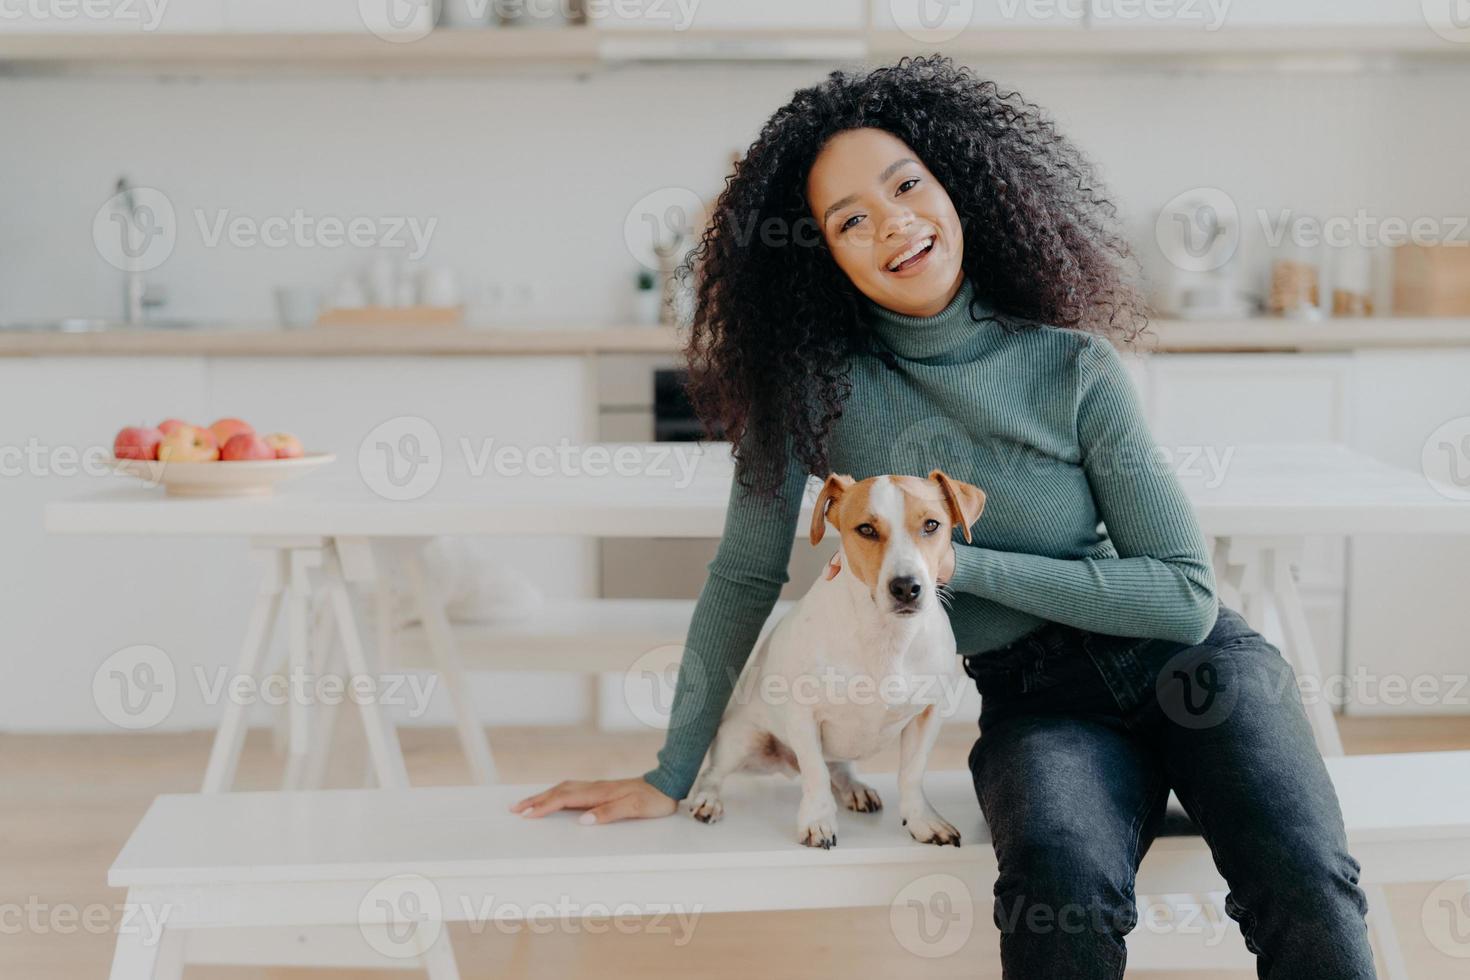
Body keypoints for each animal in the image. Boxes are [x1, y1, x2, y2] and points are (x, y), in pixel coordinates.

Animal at [687, 470, 987, 846]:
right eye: (866, 529)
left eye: (932, 525)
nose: (906, 587)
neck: (887, 638)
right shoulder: (802, 715)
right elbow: (815, 773)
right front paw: (817, 820)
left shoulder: (928, 714)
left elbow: (912, 773)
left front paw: (922, 820)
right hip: (742, 739)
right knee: (714, 772)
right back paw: (707, 799)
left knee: (837, 768)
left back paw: (854, 788)